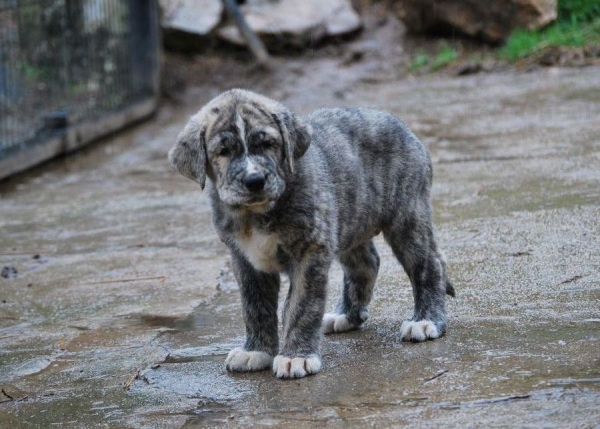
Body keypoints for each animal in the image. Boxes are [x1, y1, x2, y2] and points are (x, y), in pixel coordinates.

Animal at [166, 89, 452, 378]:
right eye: (223, 152)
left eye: (268, 144)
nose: (255, 181)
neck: (257, 213)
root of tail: (405, 128)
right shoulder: (245, 259)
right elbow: (254, 306)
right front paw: (256, 351)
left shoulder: (310, 250)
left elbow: (301, 306)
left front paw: (296, 357)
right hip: (349, 220)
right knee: (367, 263)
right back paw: (346, 315)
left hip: (407, 216)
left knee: (428, 265)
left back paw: (425, 321)